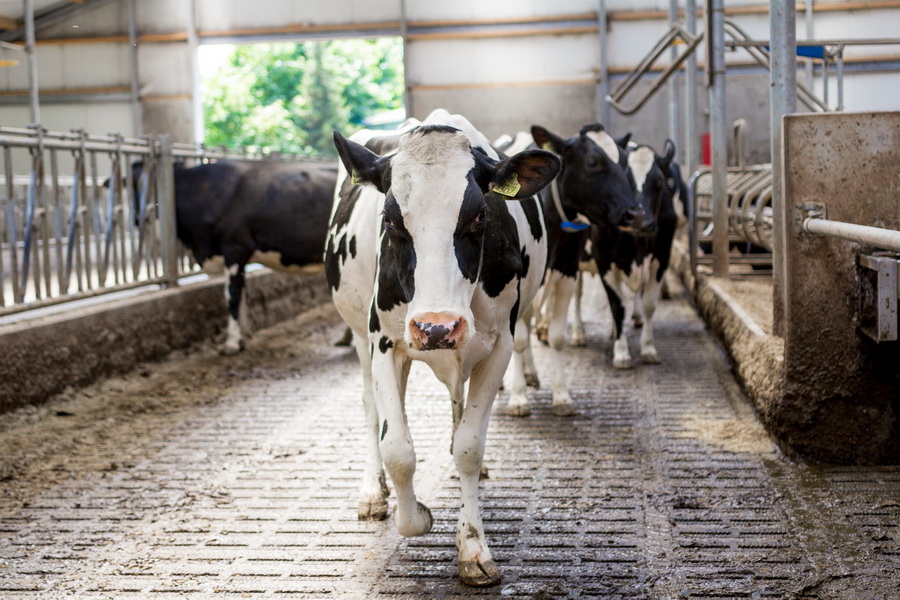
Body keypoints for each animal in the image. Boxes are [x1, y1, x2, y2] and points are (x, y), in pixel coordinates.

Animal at [137, 161, 338, 356]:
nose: (140, 220)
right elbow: (241, 294)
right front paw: (242, 339)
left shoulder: (235, 249)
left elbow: (232, 295)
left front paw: (231, 343)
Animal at [326, 109, 560, 584]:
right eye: (391, 220)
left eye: (480, 217)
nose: (436, 327)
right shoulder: (383, 341)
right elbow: (397, 449)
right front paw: (417, 517)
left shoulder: (499, 344)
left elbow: (470, 445)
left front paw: (472, 547)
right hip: (360, 336)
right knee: (372, 409)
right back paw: (373, 492)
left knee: (458, 405)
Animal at [502, 123, 644, 418]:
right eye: (592, 162)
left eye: (625, 161)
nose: (635, 214)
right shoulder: (520, 283)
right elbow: (518, 340)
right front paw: (518, 398)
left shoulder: (566, 274)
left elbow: (558, 338)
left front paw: (561, 396)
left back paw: (532, 373)